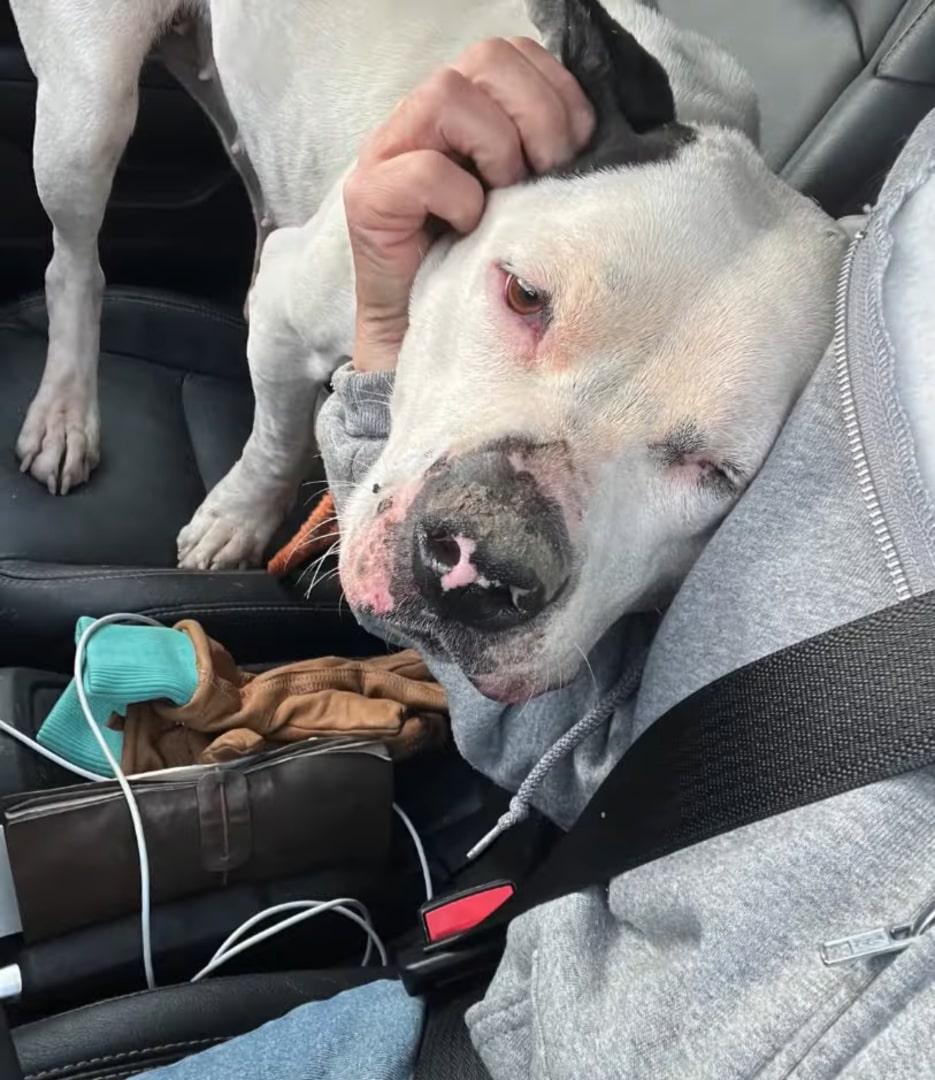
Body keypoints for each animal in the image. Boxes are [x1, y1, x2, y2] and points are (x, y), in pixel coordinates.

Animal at [9, 0, 837, 630]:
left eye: (715, 474)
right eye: (522, 294)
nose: (480, 571)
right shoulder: (296, 307)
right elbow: (275, 439)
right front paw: (240, 517)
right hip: (89, 103)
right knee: (73, 261)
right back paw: (65, 411)